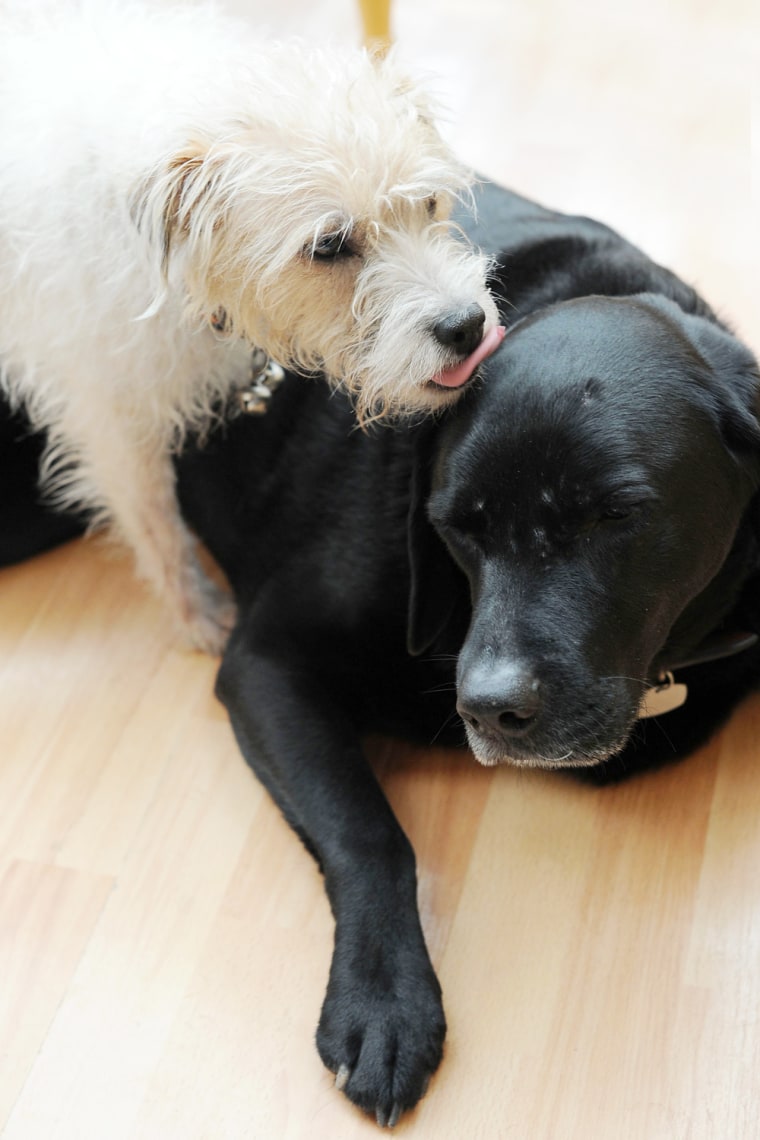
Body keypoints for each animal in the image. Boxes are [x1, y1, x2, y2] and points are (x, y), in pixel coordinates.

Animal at [0, 0, 501, 652]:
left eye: (428, 204)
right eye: (329, 246)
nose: (466, 326)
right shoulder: (110, 422)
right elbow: (156, 523)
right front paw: (196, 614)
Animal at [4, 182, 760, 1126]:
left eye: (616, 516)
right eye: (455, 526)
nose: (487, 708)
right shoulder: (267, 663)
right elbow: (371, 834)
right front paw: (385, 1005)